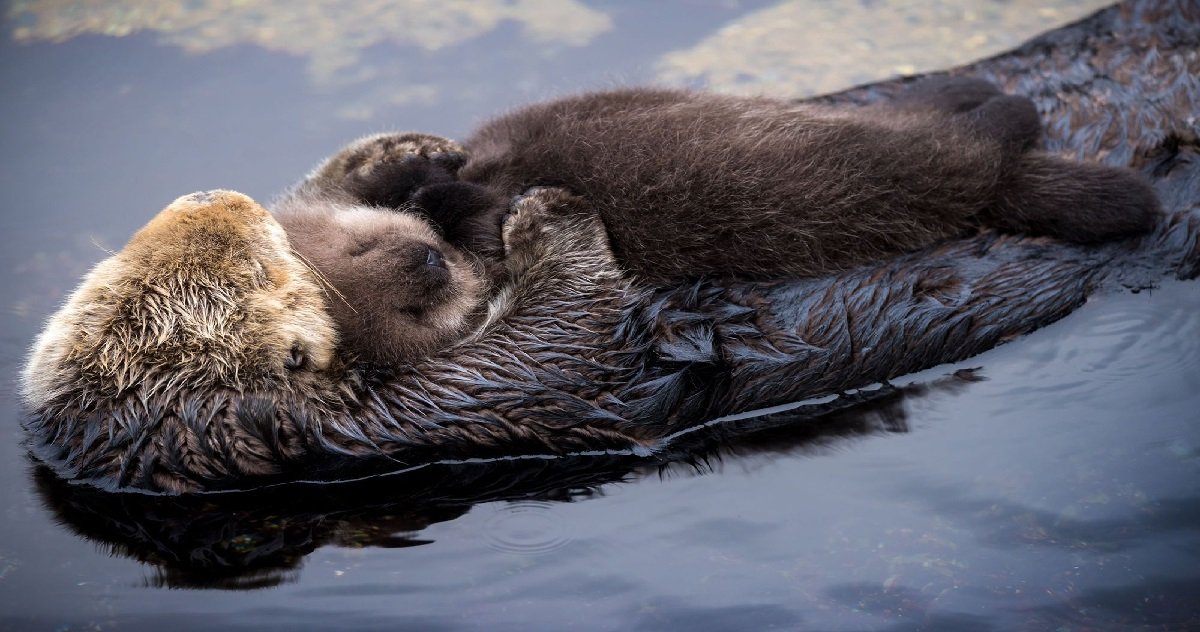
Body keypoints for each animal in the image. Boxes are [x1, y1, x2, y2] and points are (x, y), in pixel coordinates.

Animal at [274, 79, 1161, 366]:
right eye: (417, 305)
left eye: (368, 239)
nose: (425, 262)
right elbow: (489, 222)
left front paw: (419, 165)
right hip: (867, 174)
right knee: (963, 149)